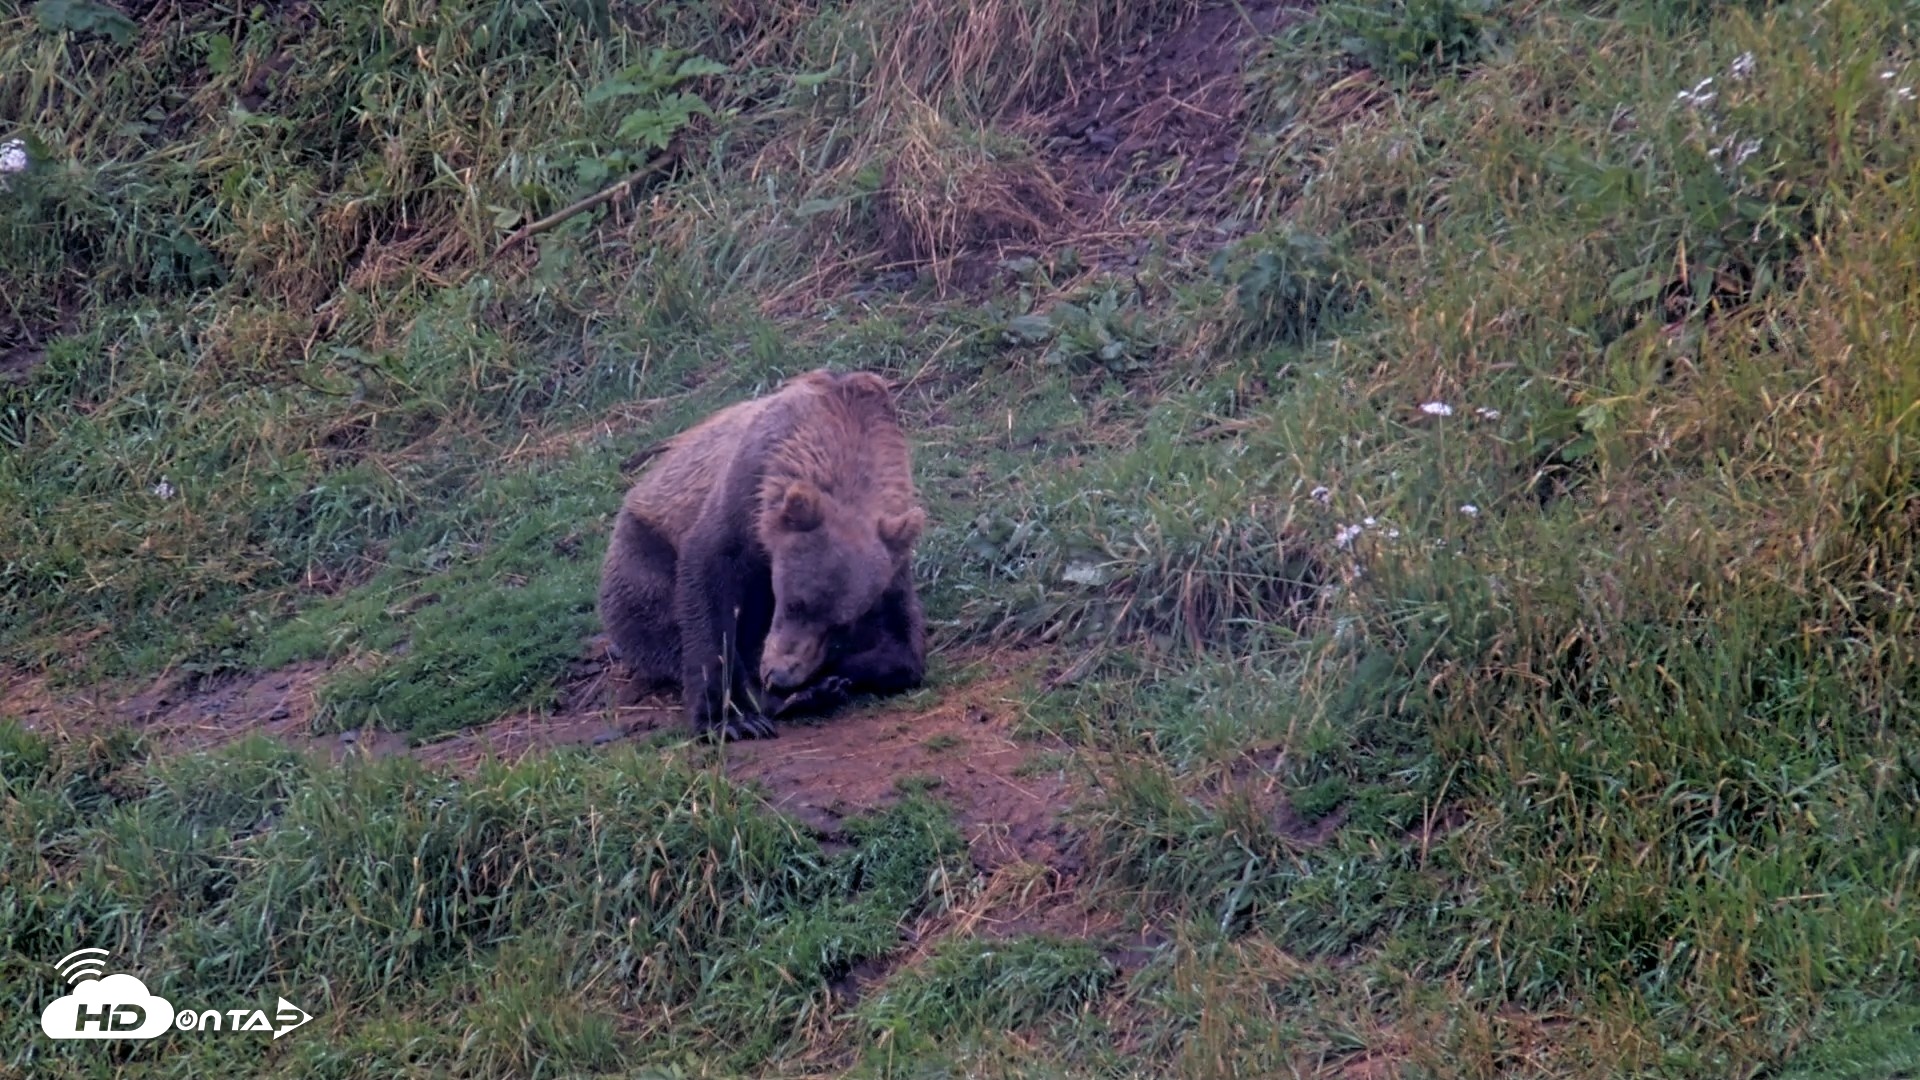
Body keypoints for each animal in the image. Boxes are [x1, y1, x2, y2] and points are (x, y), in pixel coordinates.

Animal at [597, 368, 928, 741]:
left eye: (839, 625)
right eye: (793, 602)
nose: (780, 676)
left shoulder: (892, 563)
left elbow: (902, 648)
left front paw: (832, 675)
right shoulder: (748, 491)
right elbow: (708, 582)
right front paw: (728, 718)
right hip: (641, 551)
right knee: (662, 626)